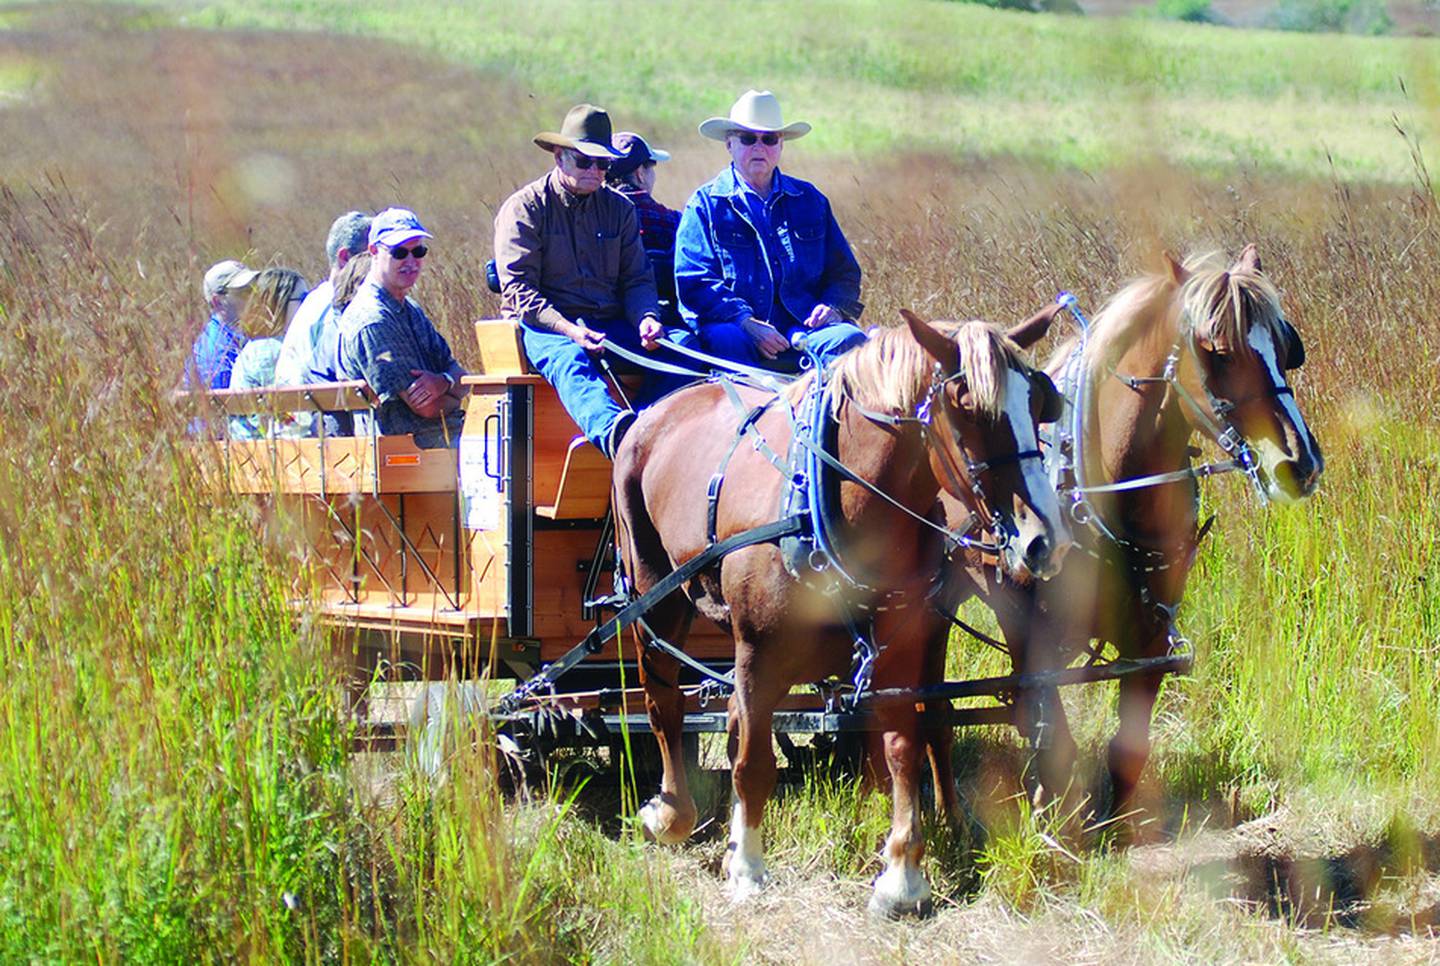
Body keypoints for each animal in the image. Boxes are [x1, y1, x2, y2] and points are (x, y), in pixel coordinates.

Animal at [607, 313, 1071, 915]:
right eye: (968, 408)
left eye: (1039, 401)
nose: (1045, 540)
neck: (836, 501)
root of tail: (658, 408)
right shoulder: (757, 652)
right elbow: (754, 762)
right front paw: (749, 870)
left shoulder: (900, 646)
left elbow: (902, 745)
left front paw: (902, 874)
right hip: (654, 595)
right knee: (663, 699)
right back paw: (671, 812)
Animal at [927, 243, 1319, 823]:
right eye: (1216, 350)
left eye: (1288, 346)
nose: (1300, 462)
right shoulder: (1029, 631)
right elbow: (1053, 735)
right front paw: (1055, 816)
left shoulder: (1151, 636)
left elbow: (1127, 749)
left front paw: (1119, 828)